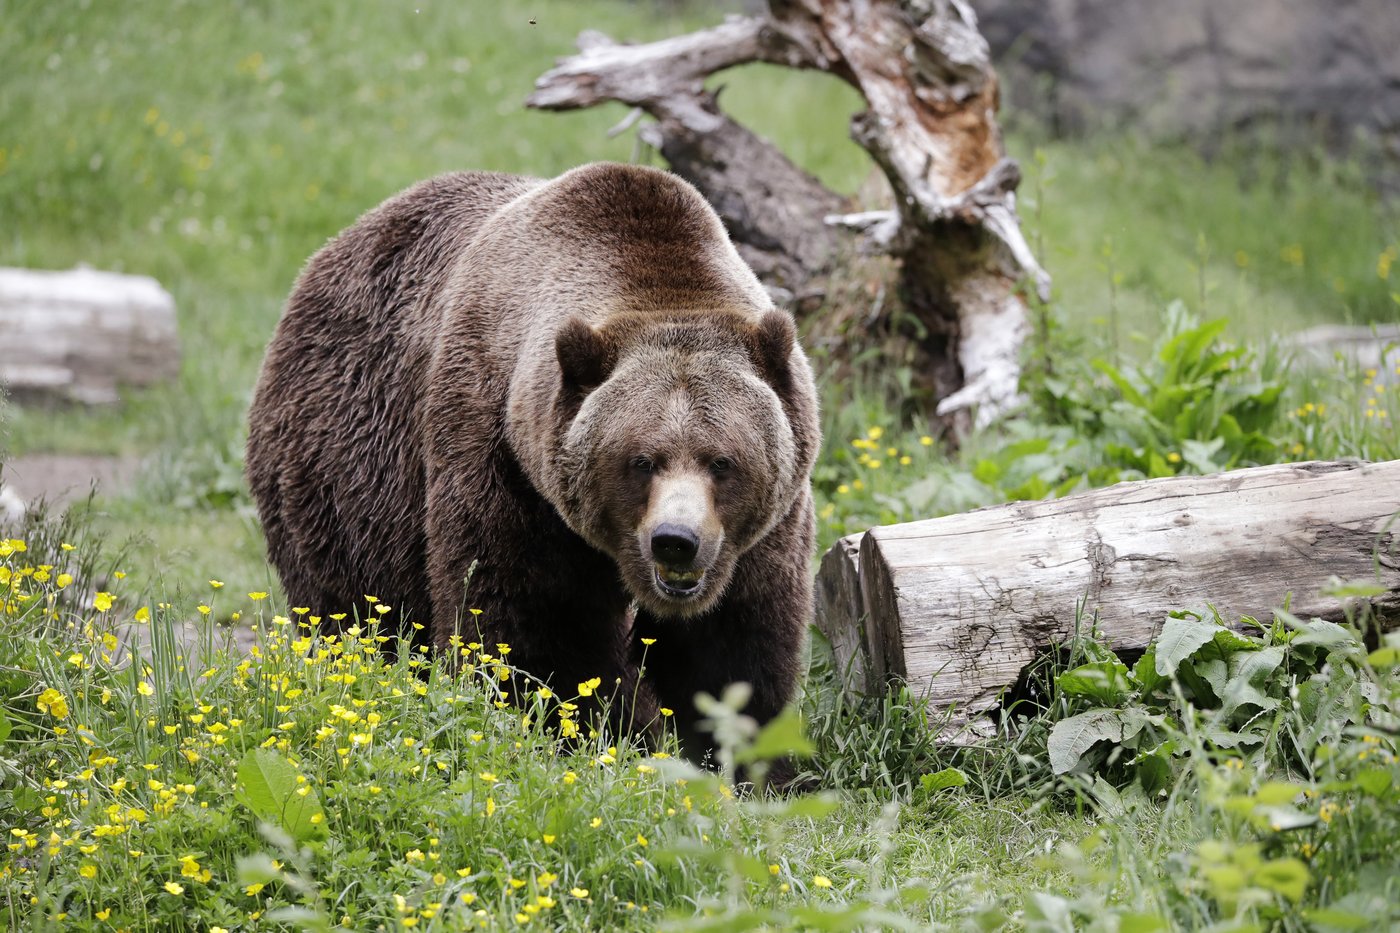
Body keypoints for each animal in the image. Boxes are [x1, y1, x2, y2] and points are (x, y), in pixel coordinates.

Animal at [246, 162, 820, 757]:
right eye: (641, 460)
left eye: (721, 461)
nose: (675, 541)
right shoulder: (504, 461)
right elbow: (532, 627)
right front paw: (591, 731)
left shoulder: (763, 530)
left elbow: (734, 647)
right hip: (346, 468)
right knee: (355, 605)